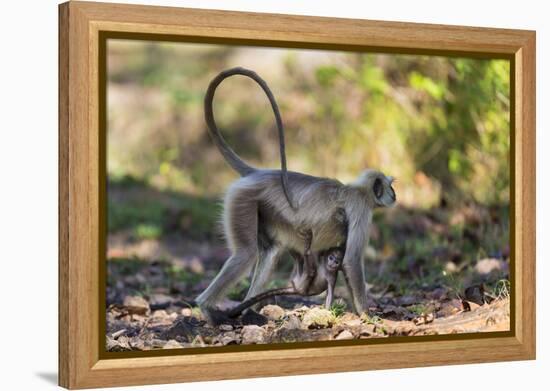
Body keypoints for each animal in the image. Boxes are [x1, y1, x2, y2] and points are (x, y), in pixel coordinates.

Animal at [198, 66, 396, 324]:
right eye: (391, 188)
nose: (394, 195)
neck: (358, 189)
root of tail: (259, 172)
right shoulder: (362, 208)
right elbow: (352, 260)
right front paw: (367, 315)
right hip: (242, 199)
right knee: (246, 253)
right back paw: (208, 309)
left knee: (270, 253)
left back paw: (248, 311)